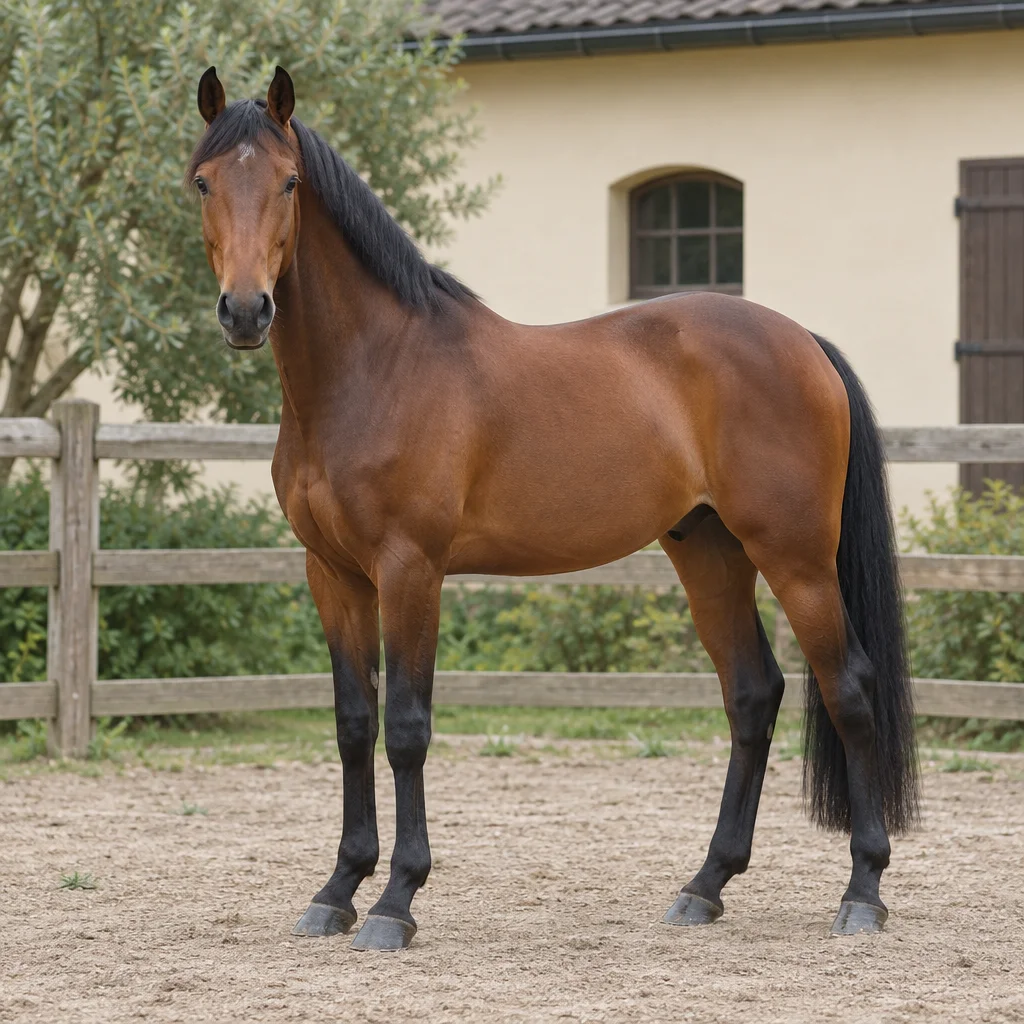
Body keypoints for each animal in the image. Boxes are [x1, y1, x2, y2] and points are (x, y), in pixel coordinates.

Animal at [186, 66, 918, 951]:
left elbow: (406, 727)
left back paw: (864, 892)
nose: (246, 310)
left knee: (849, 689)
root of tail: (803, 341)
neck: (373, 368)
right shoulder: (332, 574)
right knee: (752, 695)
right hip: (708, 552)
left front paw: (396, 900)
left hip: (797, 556)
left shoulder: (410, 571)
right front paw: (337, 890)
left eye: (289, 182)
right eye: (203, 182)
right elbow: (354, 724)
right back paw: (705, 885)